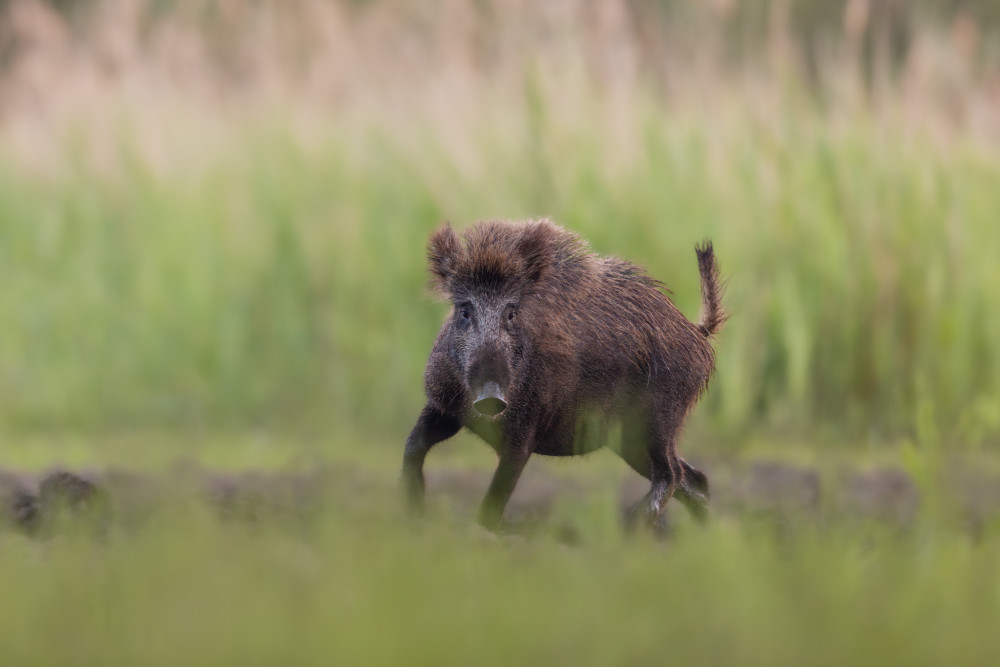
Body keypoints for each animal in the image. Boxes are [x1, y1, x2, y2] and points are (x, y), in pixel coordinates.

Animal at [402, 219, 726, 531]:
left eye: (511, 313)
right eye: (464, 311)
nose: (490, 395)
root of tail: (696, 331)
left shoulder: (525, 431)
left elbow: (496, 497)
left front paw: (483, 531)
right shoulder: (444, 407)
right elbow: (413, 446)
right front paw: (414, 511)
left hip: (661, 418)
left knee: (673, 473)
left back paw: (635, 525)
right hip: (629, 440)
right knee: (694, 481)